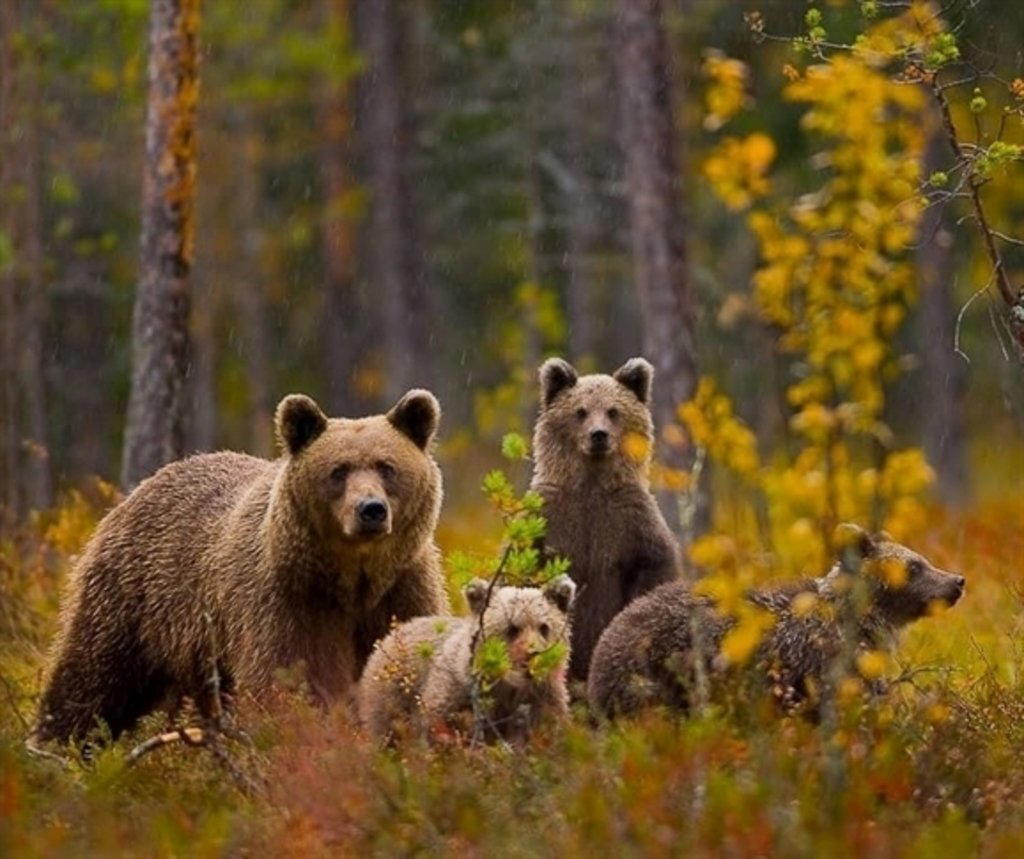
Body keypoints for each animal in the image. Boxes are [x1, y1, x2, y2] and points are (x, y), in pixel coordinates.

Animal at [33, 390, 449, 744]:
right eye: (339, 470)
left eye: (387, 466)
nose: (371, 510)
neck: (353, 579)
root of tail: (136, 491)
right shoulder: (289, 600)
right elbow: (291, 681)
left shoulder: (401, 590)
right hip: (133, 600)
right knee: (93, 678)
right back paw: (55, 748)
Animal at [358, 575, 576, 745]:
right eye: (512, 628)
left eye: (544, 627)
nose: (535, 653)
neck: (508, 685)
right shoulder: (457, 690)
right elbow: (436, 722)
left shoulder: (543, 695)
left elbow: (549, 728)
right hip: (390, 693)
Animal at [530, 357, 680, 683]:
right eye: (580, 411)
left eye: (613, 411)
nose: (598, 434)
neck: (592, 483)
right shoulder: (548, 514)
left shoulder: (631, 517)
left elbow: (654, 565)